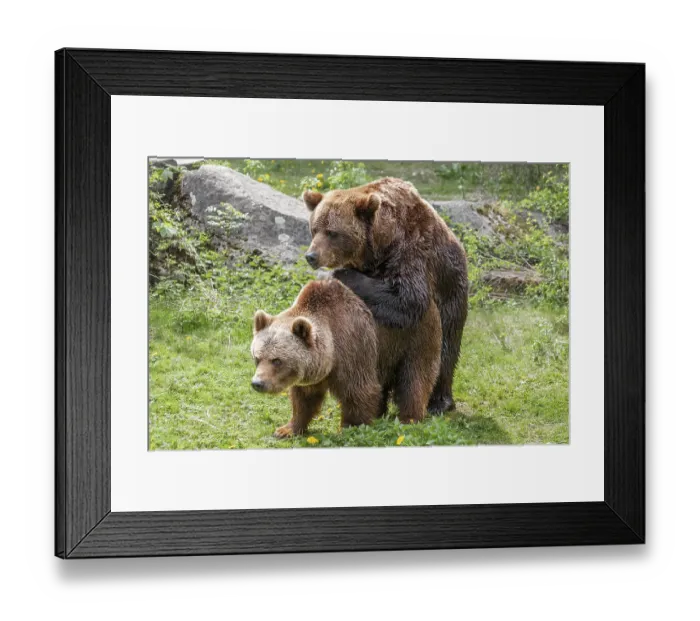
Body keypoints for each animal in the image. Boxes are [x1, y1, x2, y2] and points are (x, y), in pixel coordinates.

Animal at [251, 278, 441, 438]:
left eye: (277, 360)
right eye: (257, 358)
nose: (257, 383)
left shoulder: (352, 344)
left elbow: (358, 390)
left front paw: (349, 427)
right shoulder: (314, 372)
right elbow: (304, 399)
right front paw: (286, 429)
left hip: (415, 338)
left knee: (415, 378)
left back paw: (409, 417)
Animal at [303, 177, 469, 414]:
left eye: (332, 232)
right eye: (314, 229)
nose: (311, 256)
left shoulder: (412, 249)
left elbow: (408, 298)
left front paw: (339, 274)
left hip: (451, 291)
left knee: (446, 348)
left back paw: (439, 402)